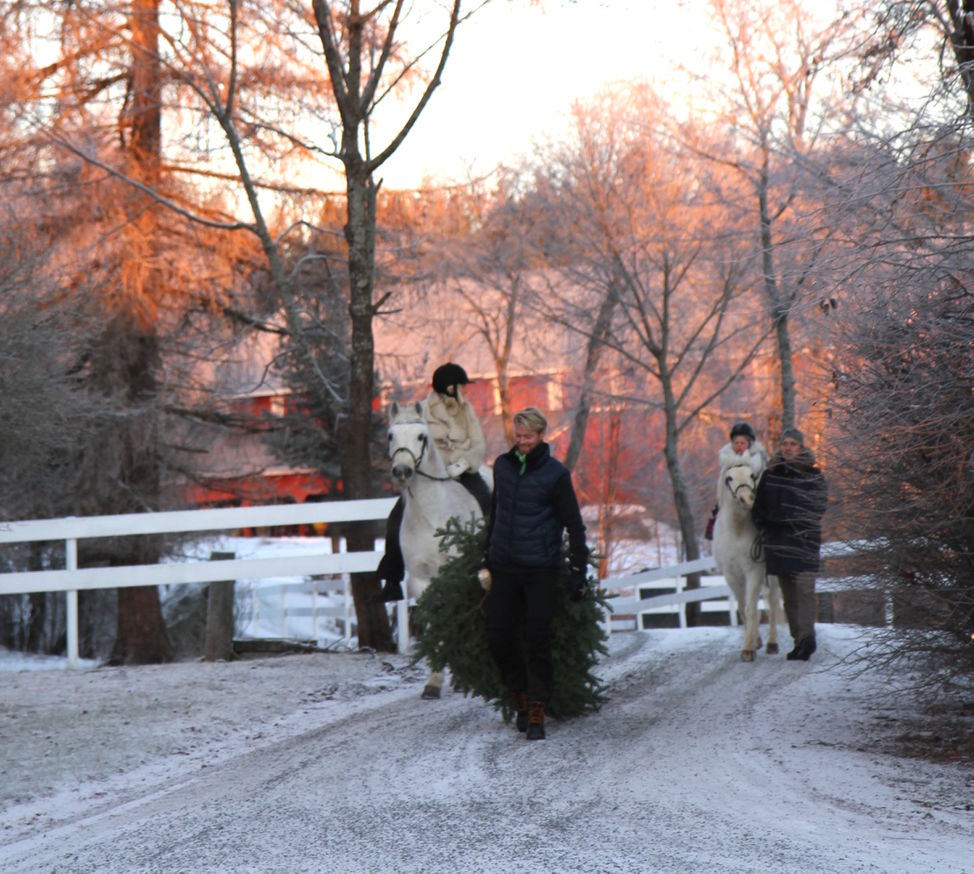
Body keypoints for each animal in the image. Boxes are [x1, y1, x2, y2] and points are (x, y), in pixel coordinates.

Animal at [386, 400, 488, 696]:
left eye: (422, 436)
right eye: (390, 436)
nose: (402, 471)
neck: (432, 516)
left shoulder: (459, 574)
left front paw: (460, 676)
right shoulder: (422, 580)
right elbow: (434, 624)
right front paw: (434, 680)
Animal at [708, 442, 784, 660]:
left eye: (752, 475)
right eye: (729, 478)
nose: (747, 499)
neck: (737, 531)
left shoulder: (754, 572)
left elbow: (751, 608)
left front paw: (748, 649)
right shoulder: (731, 575)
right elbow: (743, 608)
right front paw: (752, 642)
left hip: (772, 575)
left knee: (773, 602)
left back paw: (771, 643)